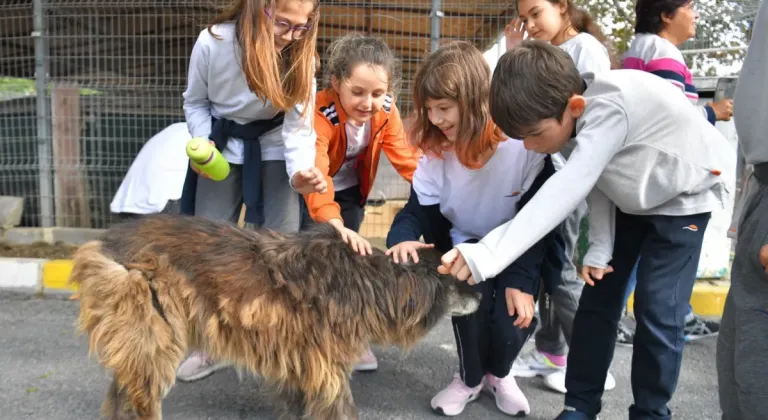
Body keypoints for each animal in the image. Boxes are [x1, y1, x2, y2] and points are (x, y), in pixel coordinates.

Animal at [70, 215, 480, 418]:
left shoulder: (301, 360)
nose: (481, 296)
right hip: (155, 340)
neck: (369, 280)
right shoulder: (327, 367)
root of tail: (107, 242)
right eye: (459, 278)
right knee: (135, 399)